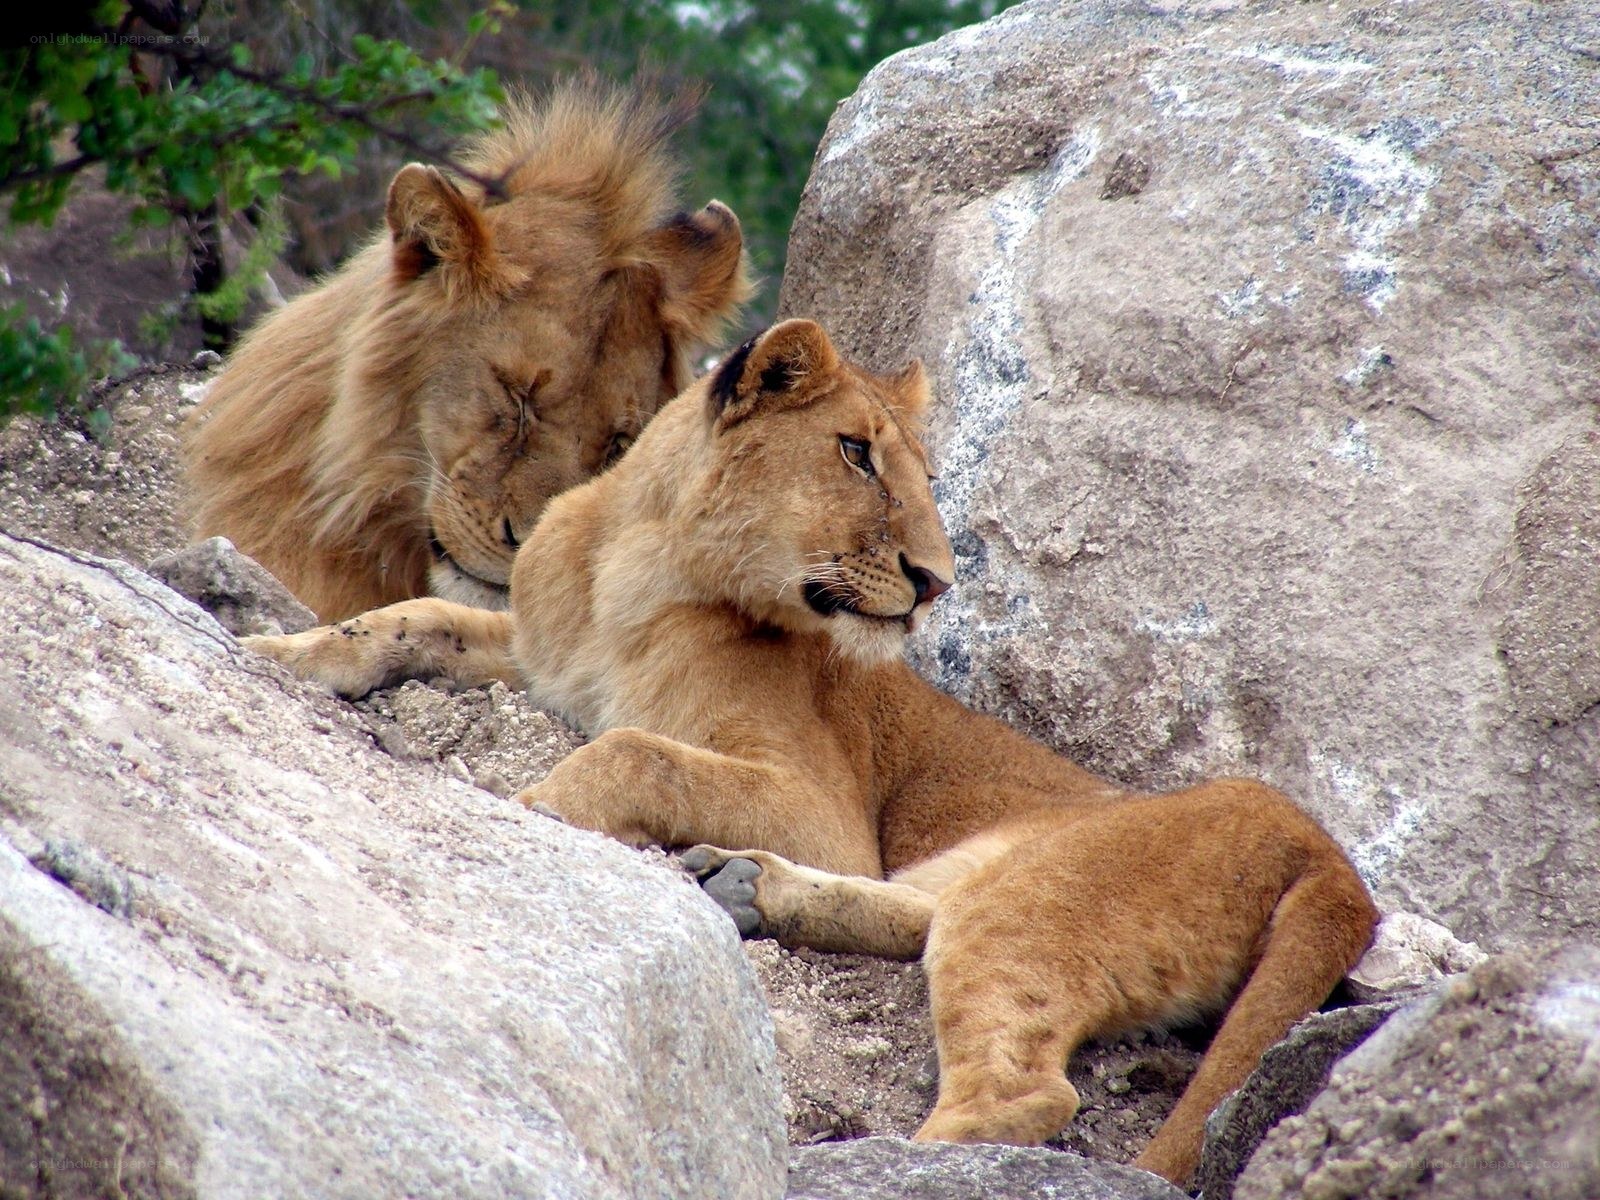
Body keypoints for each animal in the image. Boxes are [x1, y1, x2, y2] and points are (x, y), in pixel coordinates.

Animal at [243, 319, 1378, 1187]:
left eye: (922, 473)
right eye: (855, 454)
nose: (936, 581)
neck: (633, 569)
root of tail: (1327, 855)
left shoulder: (822, 806)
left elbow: (636, 752)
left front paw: (530, 808)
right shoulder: (534, 656)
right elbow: (410, 616)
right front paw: (280, 651)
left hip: (1043, 894)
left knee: (1023, 1093)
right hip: (986, 873)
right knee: (922, 921)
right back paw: (743, 886)